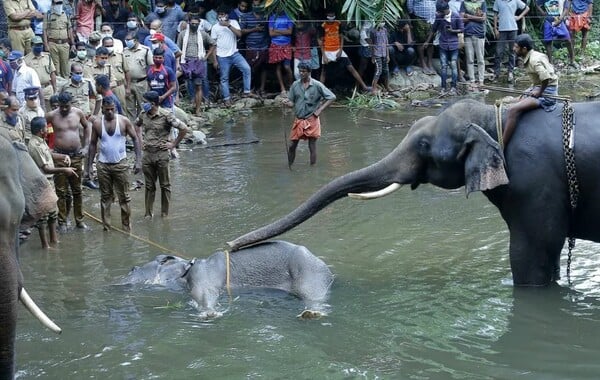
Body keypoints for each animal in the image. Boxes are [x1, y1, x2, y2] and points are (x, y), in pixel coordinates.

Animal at [227, 98, 600, 288]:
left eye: (423, 145)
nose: (230, 245)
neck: (498, 116)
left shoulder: (535, 183)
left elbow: (532, 253)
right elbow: (548, 253)